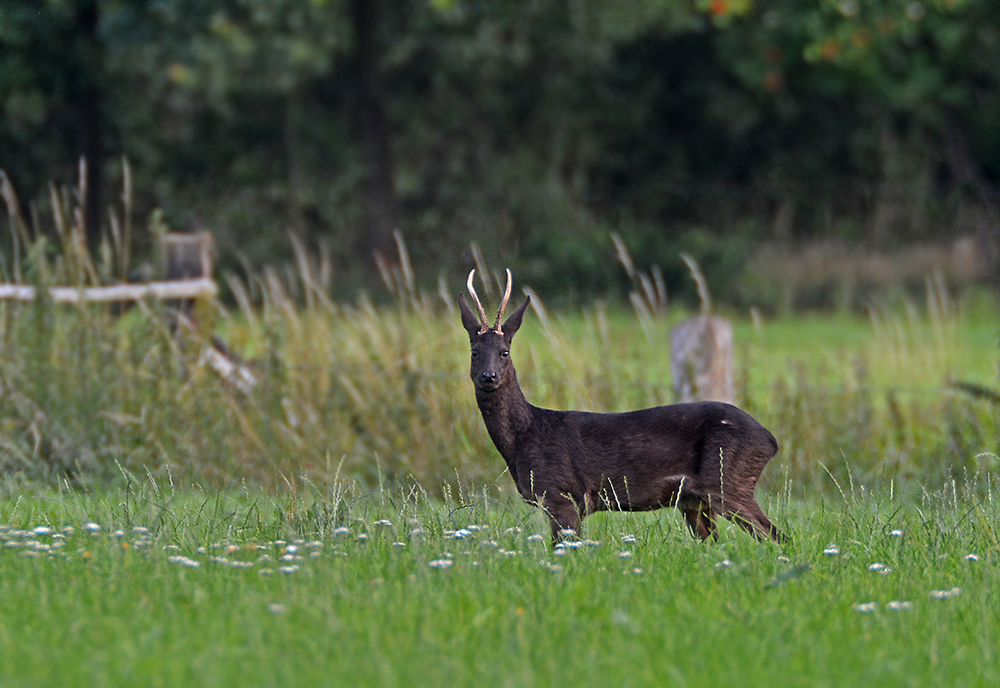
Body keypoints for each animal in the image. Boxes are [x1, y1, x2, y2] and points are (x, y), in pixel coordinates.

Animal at [460, 272, 788, 544]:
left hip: (726, 480)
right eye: (474, 352)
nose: (489, 376)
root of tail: (771, 441)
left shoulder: (562, 494)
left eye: (505, 352)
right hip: (694, 500)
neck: (525, 437)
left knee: (778, 537)